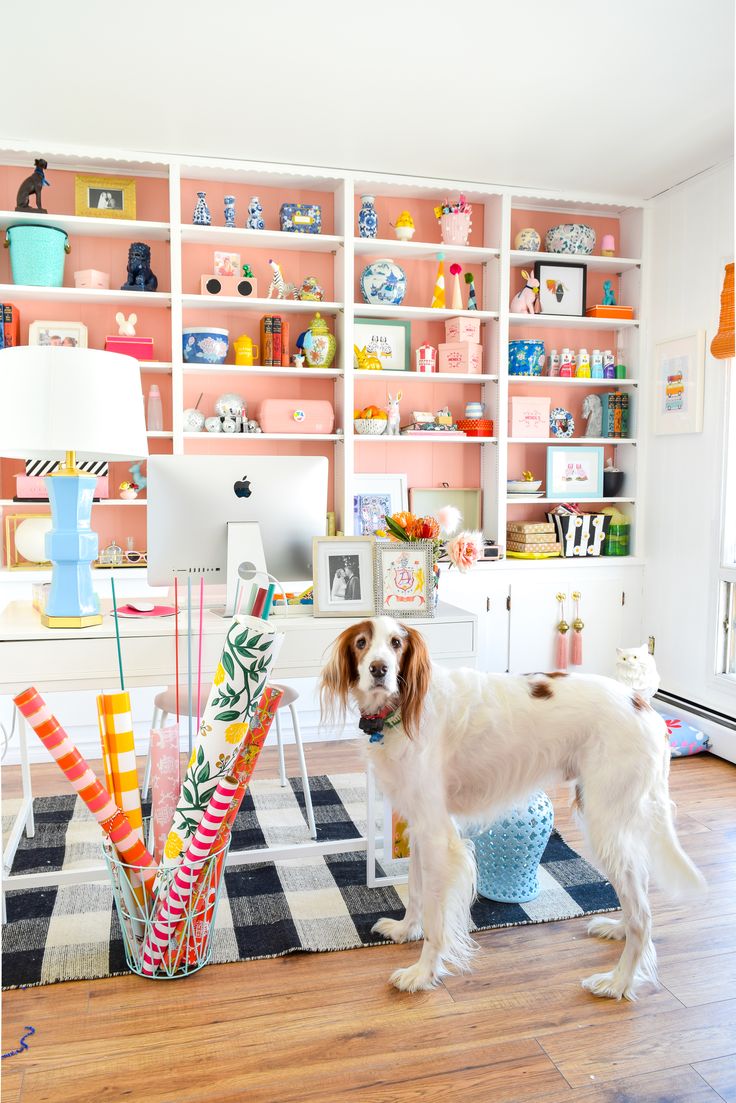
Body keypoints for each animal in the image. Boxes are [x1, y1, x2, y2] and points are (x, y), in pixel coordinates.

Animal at [320, 617, 706, 1005]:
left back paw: (619, 982)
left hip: (604, 824)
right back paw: (618, 929)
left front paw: (422, 973)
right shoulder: (419, 824)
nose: (379, 669)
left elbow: (435, 916)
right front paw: (404, 930)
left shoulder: (438, 836)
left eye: (396, 643)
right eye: (361, 643)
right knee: (638, 892)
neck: (401, 709)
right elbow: (415, 889)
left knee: (644, 914)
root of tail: (643, 705)